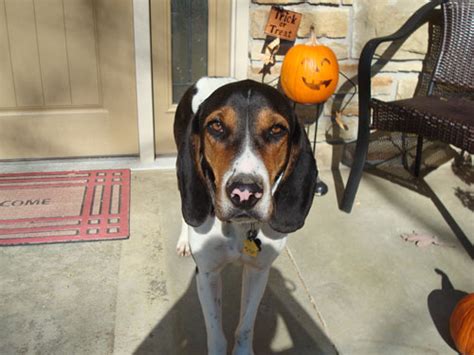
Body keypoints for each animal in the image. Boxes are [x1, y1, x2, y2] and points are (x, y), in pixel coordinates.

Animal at [174, 78, 318, 355]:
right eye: (216, 126)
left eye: (277, 129)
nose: (245, 193)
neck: (240, 230)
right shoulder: (207, 274)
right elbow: (216, 335)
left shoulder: (258, 271)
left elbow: (245, 327)